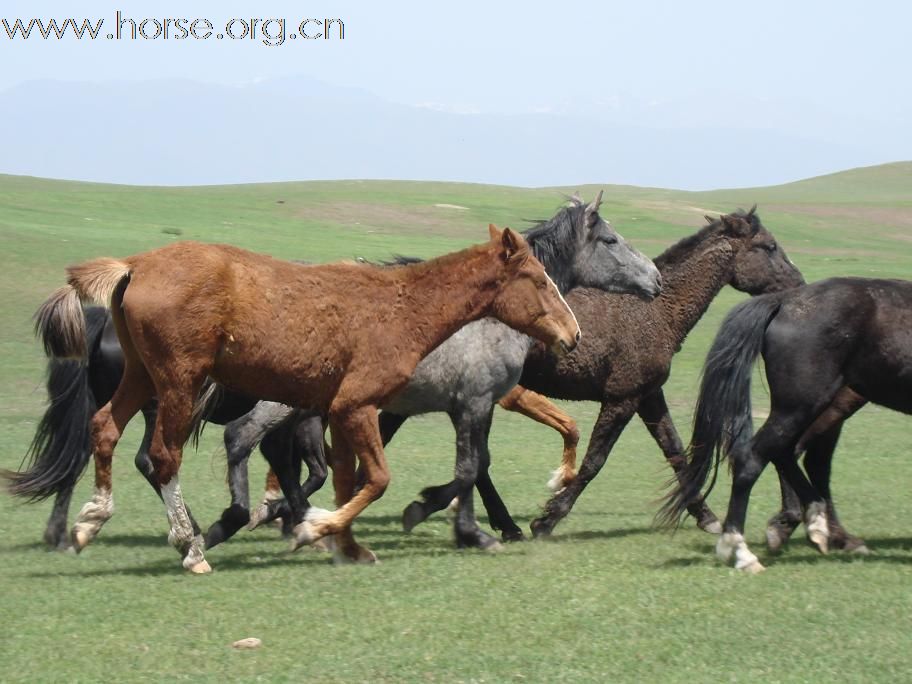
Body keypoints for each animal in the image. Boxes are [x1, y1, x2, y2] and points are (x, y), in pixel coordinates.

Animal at [6, 308, 328, 552]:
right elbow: (294, 469)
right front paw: (283, 518)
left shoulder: (302, 421)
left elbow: (310, 473)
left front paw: (294, 520)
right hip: (156, 409)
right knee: (147, 460)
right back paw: (189, 528)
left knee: (79, 457)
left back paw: (61, 534)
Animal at [660, 278, 912, 572]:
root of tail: (785, 300)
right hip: (803, 404)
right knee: (757, 457)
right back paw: (741, 550)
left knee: (792, 454)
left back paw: (816, 523)